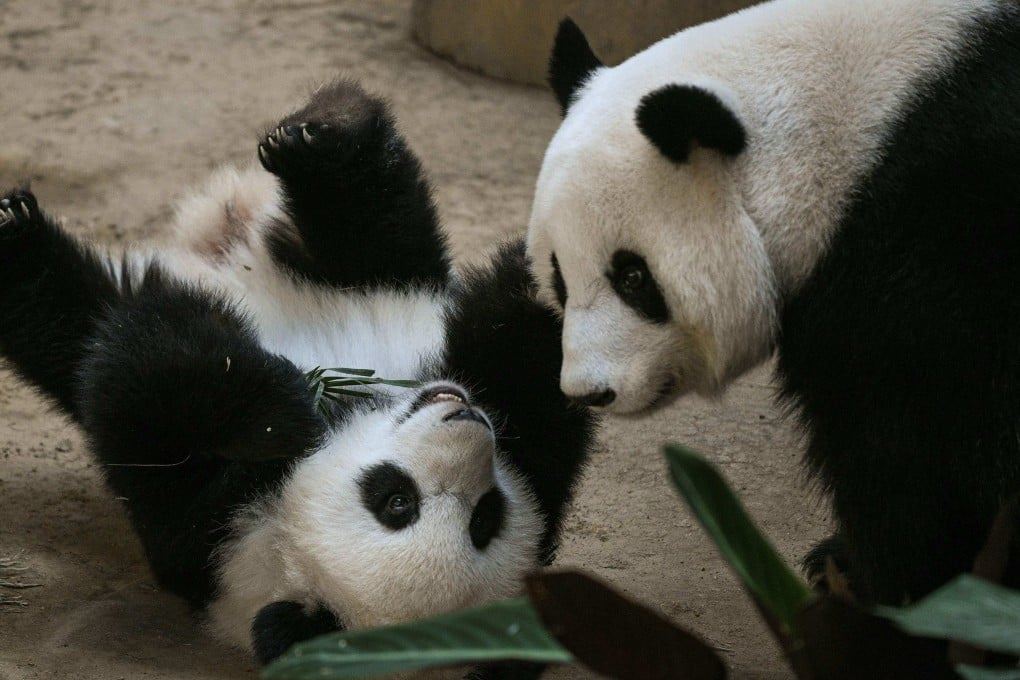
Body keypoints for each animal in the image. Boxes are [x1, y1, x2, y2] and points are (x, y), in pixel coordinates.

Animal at [0, 79, 594, 672]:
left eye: (484, 518)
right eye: (397, 501)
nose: (467, 419)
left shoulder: (201, 532)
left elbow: (135, 378)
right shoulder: (207, 525)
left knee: (72, 313)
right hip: (359, 277)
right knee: (369, 222)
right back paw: (325, 131)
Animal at [527, 0, 1020, 605]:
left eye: (634, 277)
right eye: (559, 278)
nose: (588, 391)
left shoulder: (940, 237)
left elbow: (916, 441)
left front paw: (882, 582)